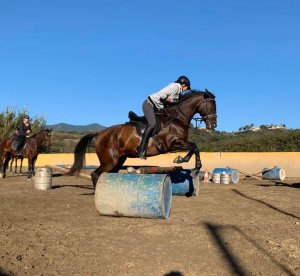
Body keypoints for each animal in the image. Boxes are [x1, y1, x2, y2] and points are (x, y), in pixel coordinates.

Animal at [69, 90, 217, 188]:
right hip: (109, 161)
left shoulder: (179, 144)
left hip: (118, 160)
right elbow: (195, 147)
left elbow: (194, 148)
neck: (177, 118)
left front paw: (181, 159)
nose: (213, 125)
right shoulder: (173, 144)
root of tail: (99, 134)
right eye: (211, 106)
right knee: (95, 174)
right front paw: (195, 168)